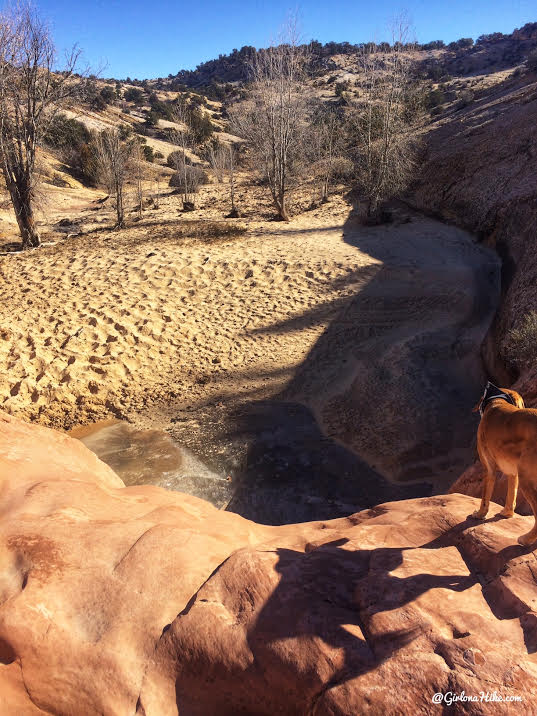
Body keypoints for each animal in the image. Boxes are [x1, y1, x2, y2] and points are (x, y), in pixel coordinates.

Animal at [468, 384, 536, 544]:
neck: (498, 400)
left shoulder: (489, 469)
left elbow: (485, 498)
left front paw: (480, 514)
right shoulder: (513, 472)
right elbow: (511, 495)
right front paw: (507, 514)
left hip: (527, 480)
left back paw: (526, 539)